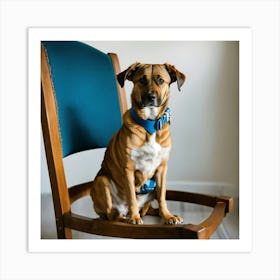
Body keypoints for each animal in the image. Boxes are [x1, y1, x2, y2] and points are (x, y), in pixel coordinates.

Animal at [91, 62, 185, 224]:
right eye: (142, 80)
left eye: (161, 80)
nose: (151, 97)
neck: (150, 125)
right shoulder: (128, 170)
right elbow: (131, 197)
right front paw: (134, 217)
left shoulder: (162, 169)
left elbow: (162, 196)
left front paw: (167, 215)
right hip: (101, 182)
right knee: (111, 214)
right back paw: (124, 217)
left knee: (148, 207)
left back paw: (155, 212)